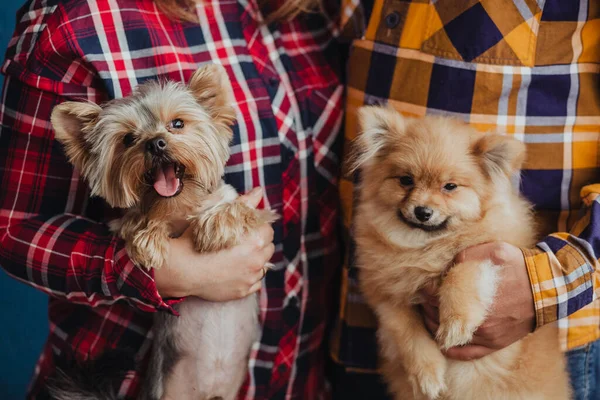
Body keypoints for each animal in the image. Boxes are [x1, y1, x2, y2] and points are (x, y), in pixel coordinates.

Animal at [51, 64, 276, 398]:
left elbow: (238, 209)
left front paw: (214, 226)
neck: (180, 208)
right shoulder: (122, 221)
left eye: (177, 123)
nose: (155, 142)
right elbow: (134, 219)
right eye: (128, 138)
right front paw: (149, 240)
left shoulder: (259, 213)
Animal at [352, 107, 572, 400]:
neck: (425, 248)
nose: (422, 211)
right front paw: (427, 376)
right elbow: (409, 336)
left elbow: (461, 272)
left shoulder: (491, 252)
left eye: (450, 187)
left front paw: (456, 324)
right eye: (406, 180)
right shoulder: (388, 298)